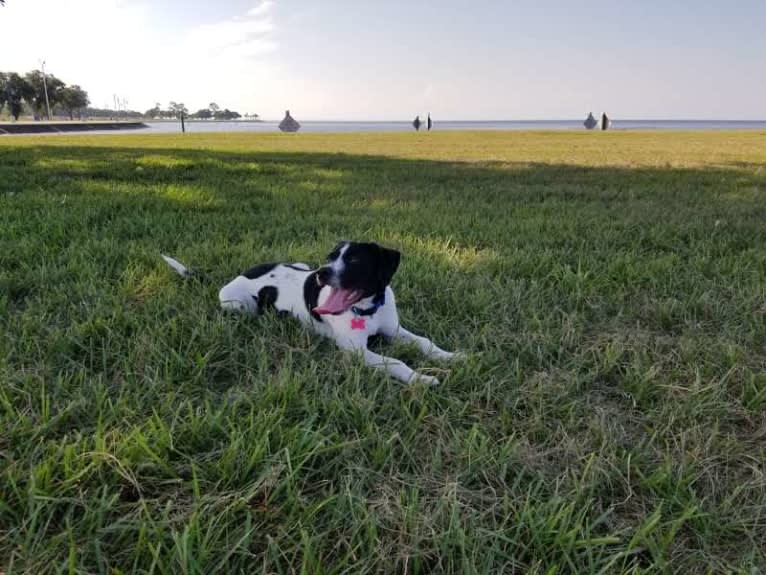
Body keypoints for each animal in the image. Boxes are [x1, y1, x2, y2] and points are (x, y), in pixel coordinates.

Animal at [163, 241, 462, 384]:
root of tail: (239, 274)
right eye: (330, 257)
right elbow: (396, 362)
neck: (367, 309)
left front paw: (451, 356)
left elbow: (425, 342)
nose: (322, 273)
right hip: (237, 305)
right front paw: (421, 379)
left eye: (355, 259)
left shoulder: (395, 330)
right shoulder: (357, 351)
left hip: (299, 264)